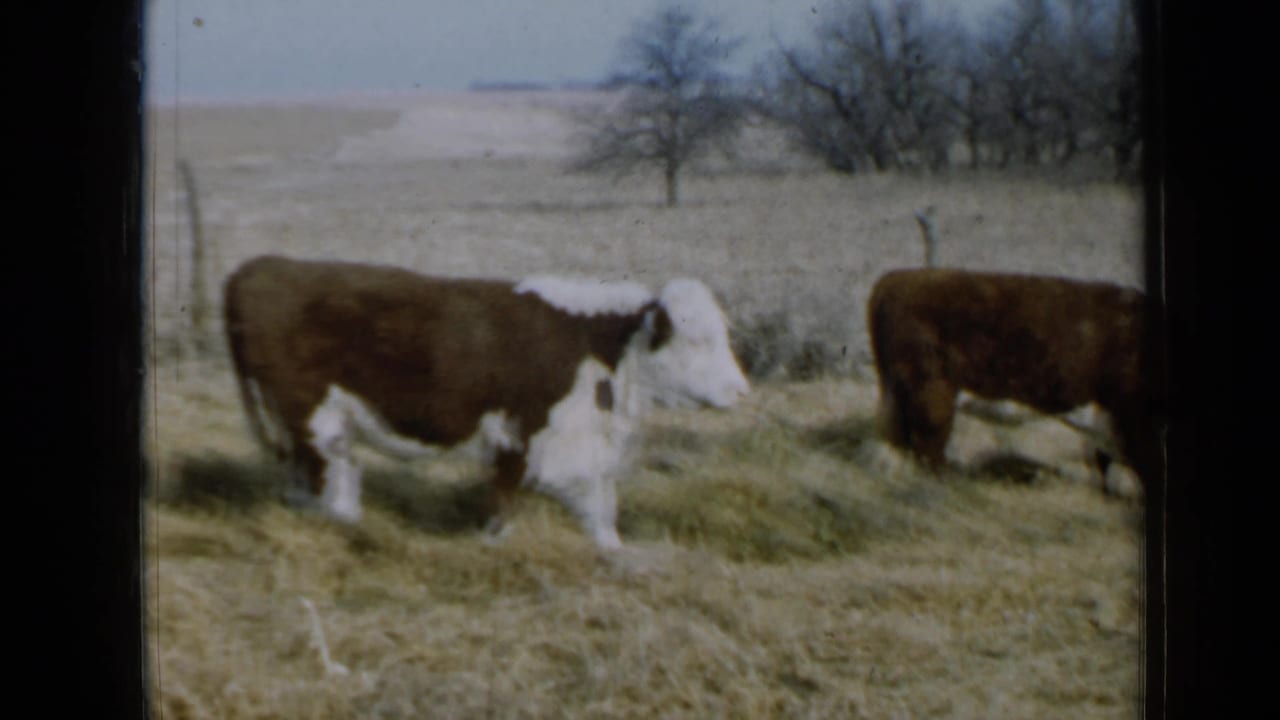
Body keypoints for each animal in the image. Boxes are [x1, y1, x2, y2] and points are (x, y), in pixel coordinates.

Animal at [222, 255, 750, 550]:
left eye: (725, 334)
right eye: (697, 339)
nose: (742, 391)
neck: (595, 344)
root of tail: (262, 266)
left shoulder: (579, 444)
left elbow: (601, 507)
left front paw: (614, 552)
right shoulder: (524, 434)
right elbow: (508, 495)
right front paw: (495, 541)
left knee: (326, 474)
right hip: (311, 414)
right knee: (328, 476)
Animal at [866, 268, 1159, 492]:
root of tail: (896, 278)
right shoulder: (1130, 411)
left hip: (902, 388)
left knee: (899, 440)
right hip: (931, 385)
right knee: (928, 440)